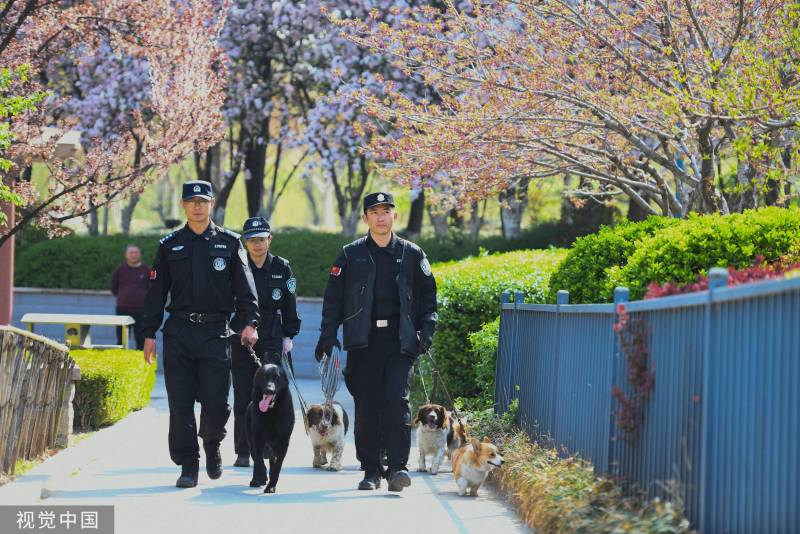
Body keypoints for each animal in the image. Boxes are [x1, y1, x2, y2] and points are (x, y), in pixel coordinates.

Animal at [245, 354, 296, 496]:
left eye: (277, 377)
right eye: (264, 376)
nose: (269, 390)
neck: (271, 411)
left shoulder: (284, 442)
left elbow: (277, 465)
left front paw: (271, 486)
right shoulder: (257, 438)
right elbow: (258, 459)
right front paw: (260, 477)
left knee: (273, 460)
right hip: (251, 439)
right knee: (256, 457)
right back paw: (258, 478)